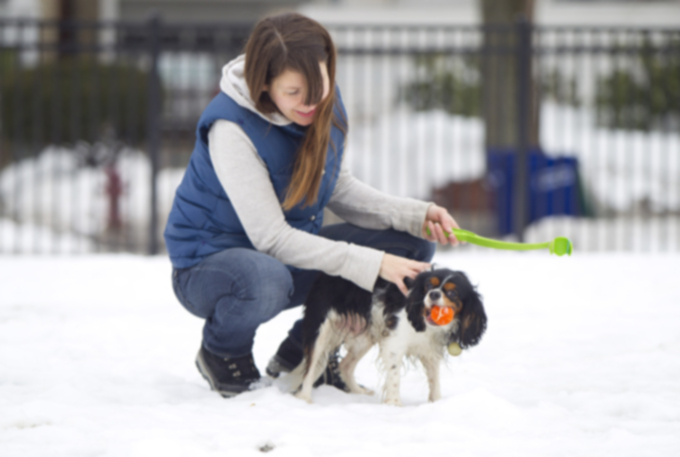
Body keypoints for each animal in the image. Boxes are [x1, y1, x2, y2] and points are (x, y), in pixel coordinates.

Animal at [290, 268, 486, 402]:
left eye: (452, 293)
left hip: (365, 336)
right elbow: (394, 376)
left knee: (345, 365)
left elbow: (434, 378)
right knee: (310, 368)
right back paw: (304, 398)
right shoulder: (394, 344)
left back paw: (358, 393)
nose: (434, 294)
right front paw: (394, 404)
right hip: (321, 329)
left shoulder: (430, 350)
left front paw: (436, 402)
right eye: (429, 286)